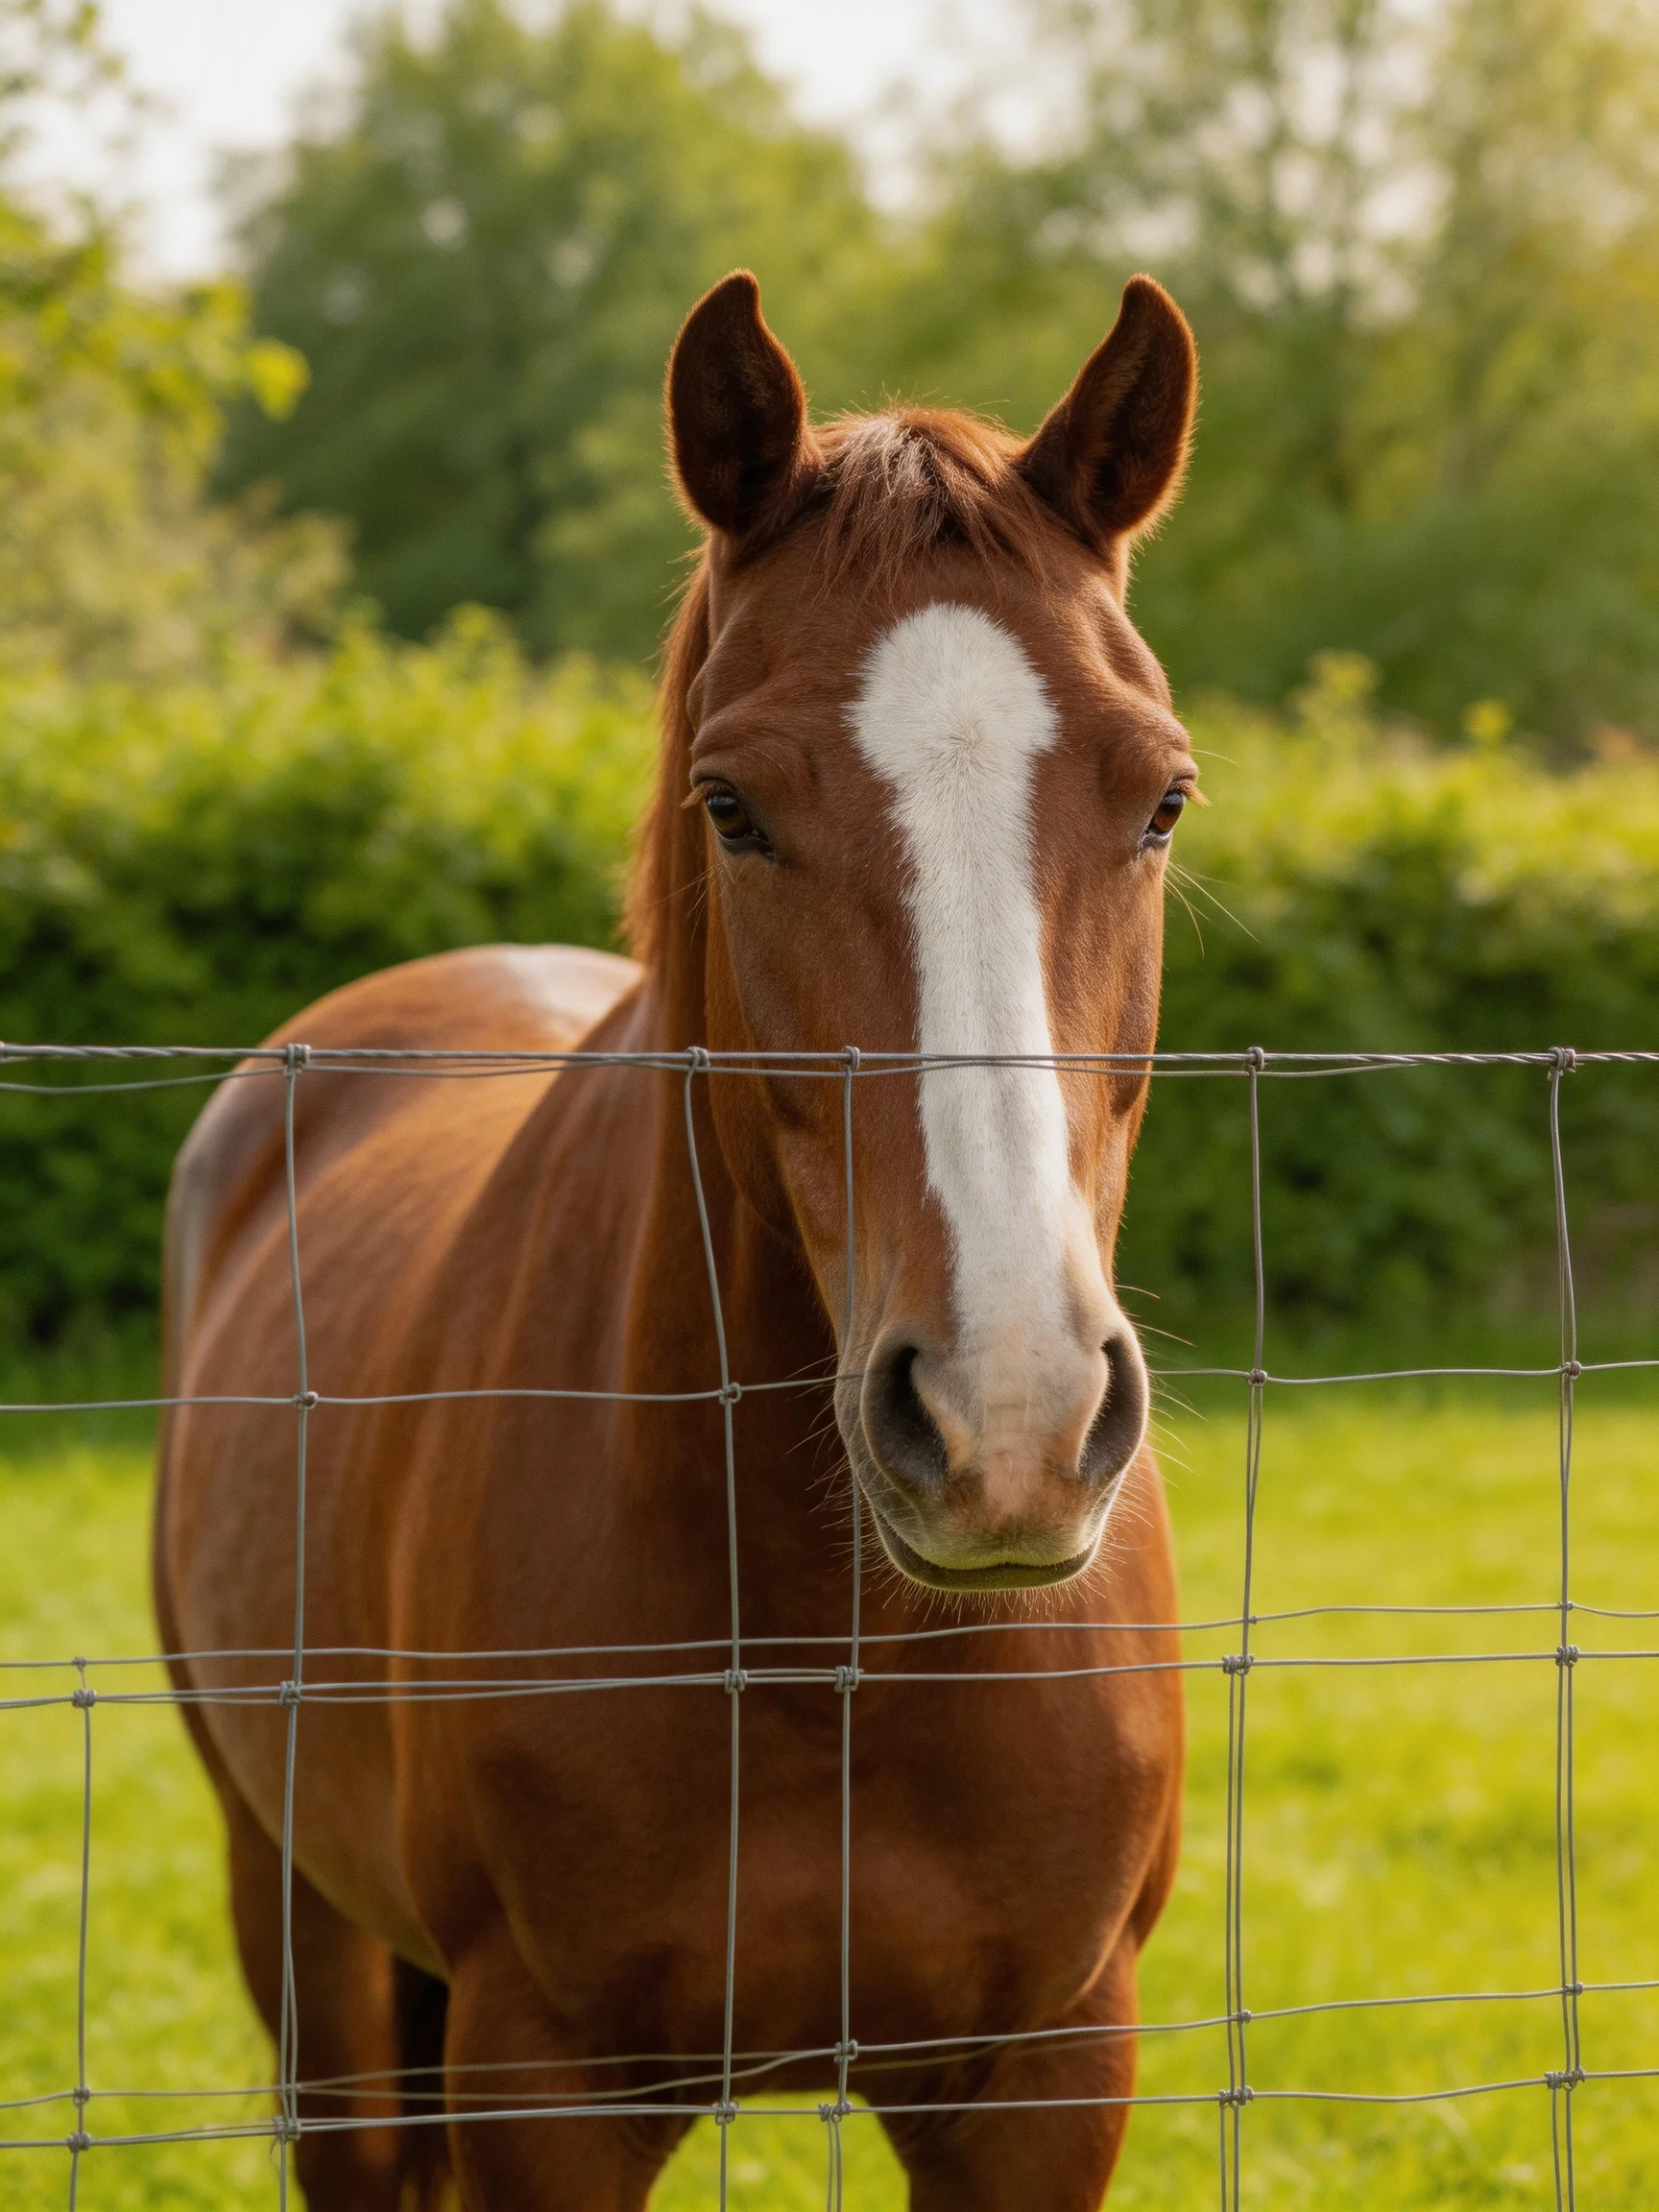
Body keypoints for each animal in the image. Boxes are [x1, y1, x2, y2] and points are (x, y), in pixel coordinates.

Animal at [154, 266, 1199, 2211]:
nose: (1009, 1422)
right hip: (302, 1933)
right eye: (734, 806)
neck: (827, 1647)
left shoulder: (1045, 2077)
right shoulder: (542, 2088)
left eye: (1160, 796)